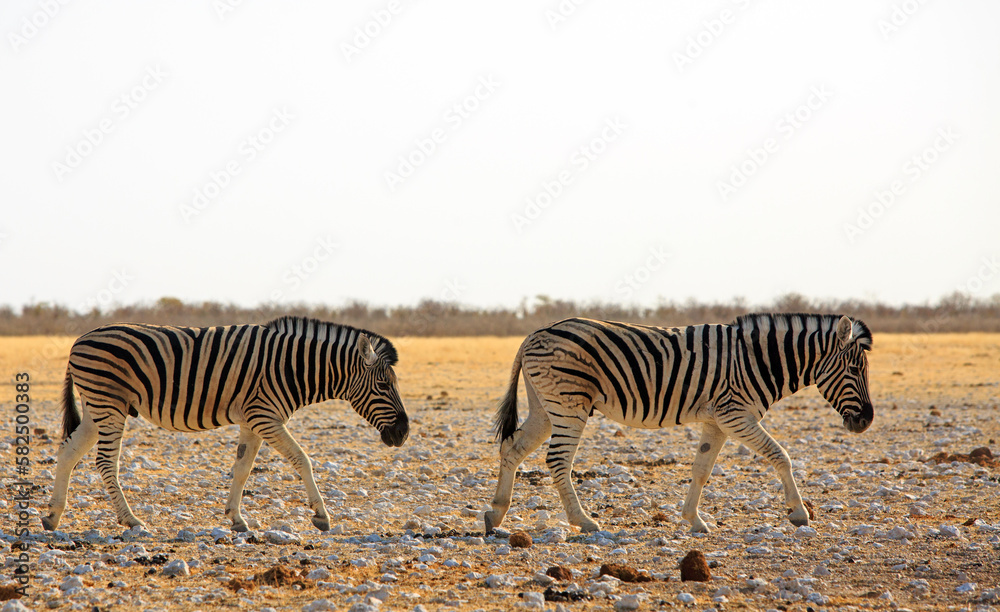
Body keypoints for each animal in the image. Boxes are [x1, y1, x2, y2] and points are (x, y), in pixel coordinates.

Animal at [42, 316, 408, 533]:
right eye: (383, 386)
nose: (404, 433)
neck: (294, 367)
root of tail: (79, 339)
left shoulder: (253, 419)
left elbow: (243, 468)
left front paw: (236, 518)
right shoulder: (265, 416)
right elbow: (302, 459)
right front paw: (321, 516)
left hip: (97, 407)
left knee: (68, 452)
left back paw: (52, 516)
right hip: (109, 403)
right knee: (105, 461)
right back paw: (131, 521)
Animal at [485, 313, 873, 534]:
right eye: (855, 369)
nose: (867, 421)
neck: (759, 359)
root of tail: (535, 333)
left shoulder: (717, 420)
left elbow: (701, 469)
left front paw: (693, 520)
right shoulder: (735, 413)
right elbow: (781, 456)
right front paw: (799, 513)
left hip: (545, 407)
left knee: (512, 447)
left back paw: (496, 513)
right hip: (569, 403)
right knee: (557, 460)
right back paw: (584, 522)